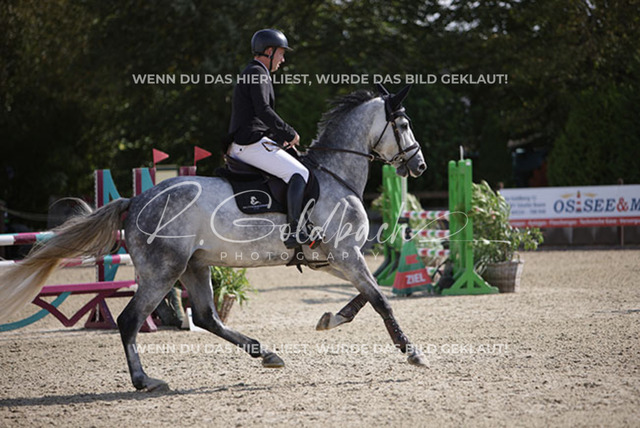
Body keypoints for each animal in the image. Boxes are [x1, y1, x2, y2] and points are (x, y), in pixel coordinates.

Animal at [0, 83, 428, 391]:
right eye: (405, 125)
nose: (420, 165)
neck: (335, 173)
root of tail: (136, 199)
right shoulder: (346, 254)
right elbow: (380, 299)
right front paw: (413, 353)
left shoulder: (335, 259)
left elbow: (365, 296)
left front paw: (330, 318)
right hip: (163, 271)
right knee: (130, 320)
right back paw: (144, 381)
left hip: (194, 266)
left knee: (206, 317)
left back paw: (265, 353)